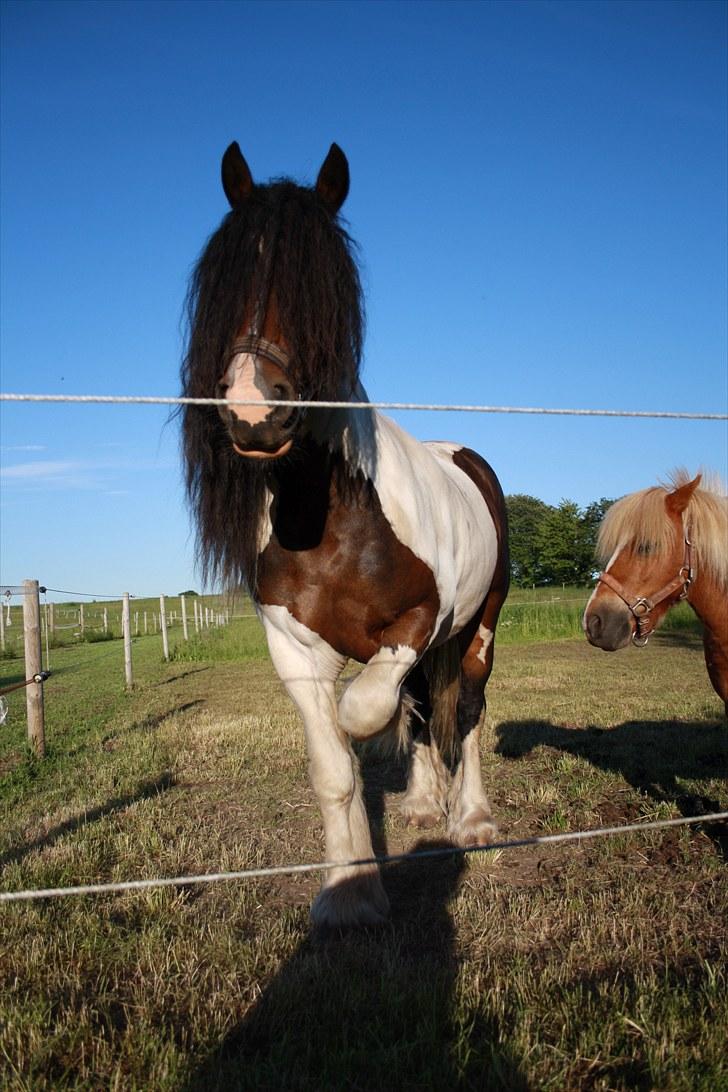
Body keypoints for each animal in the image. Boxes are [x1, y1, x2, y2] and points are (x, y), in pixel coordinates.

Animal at [185, 145, 510, 926]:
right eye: (224, 282)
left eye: (324, 288)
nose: (253, 413)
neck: (327, 521)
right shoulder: (292, 649)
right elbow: (336, 765)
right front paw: (352, 890)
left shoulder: (422, 620)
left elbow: (366, 713)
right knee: (421, 706)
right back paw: (424, 803)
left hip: (480, 624)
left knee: (464, 708)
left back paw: (471, 817)